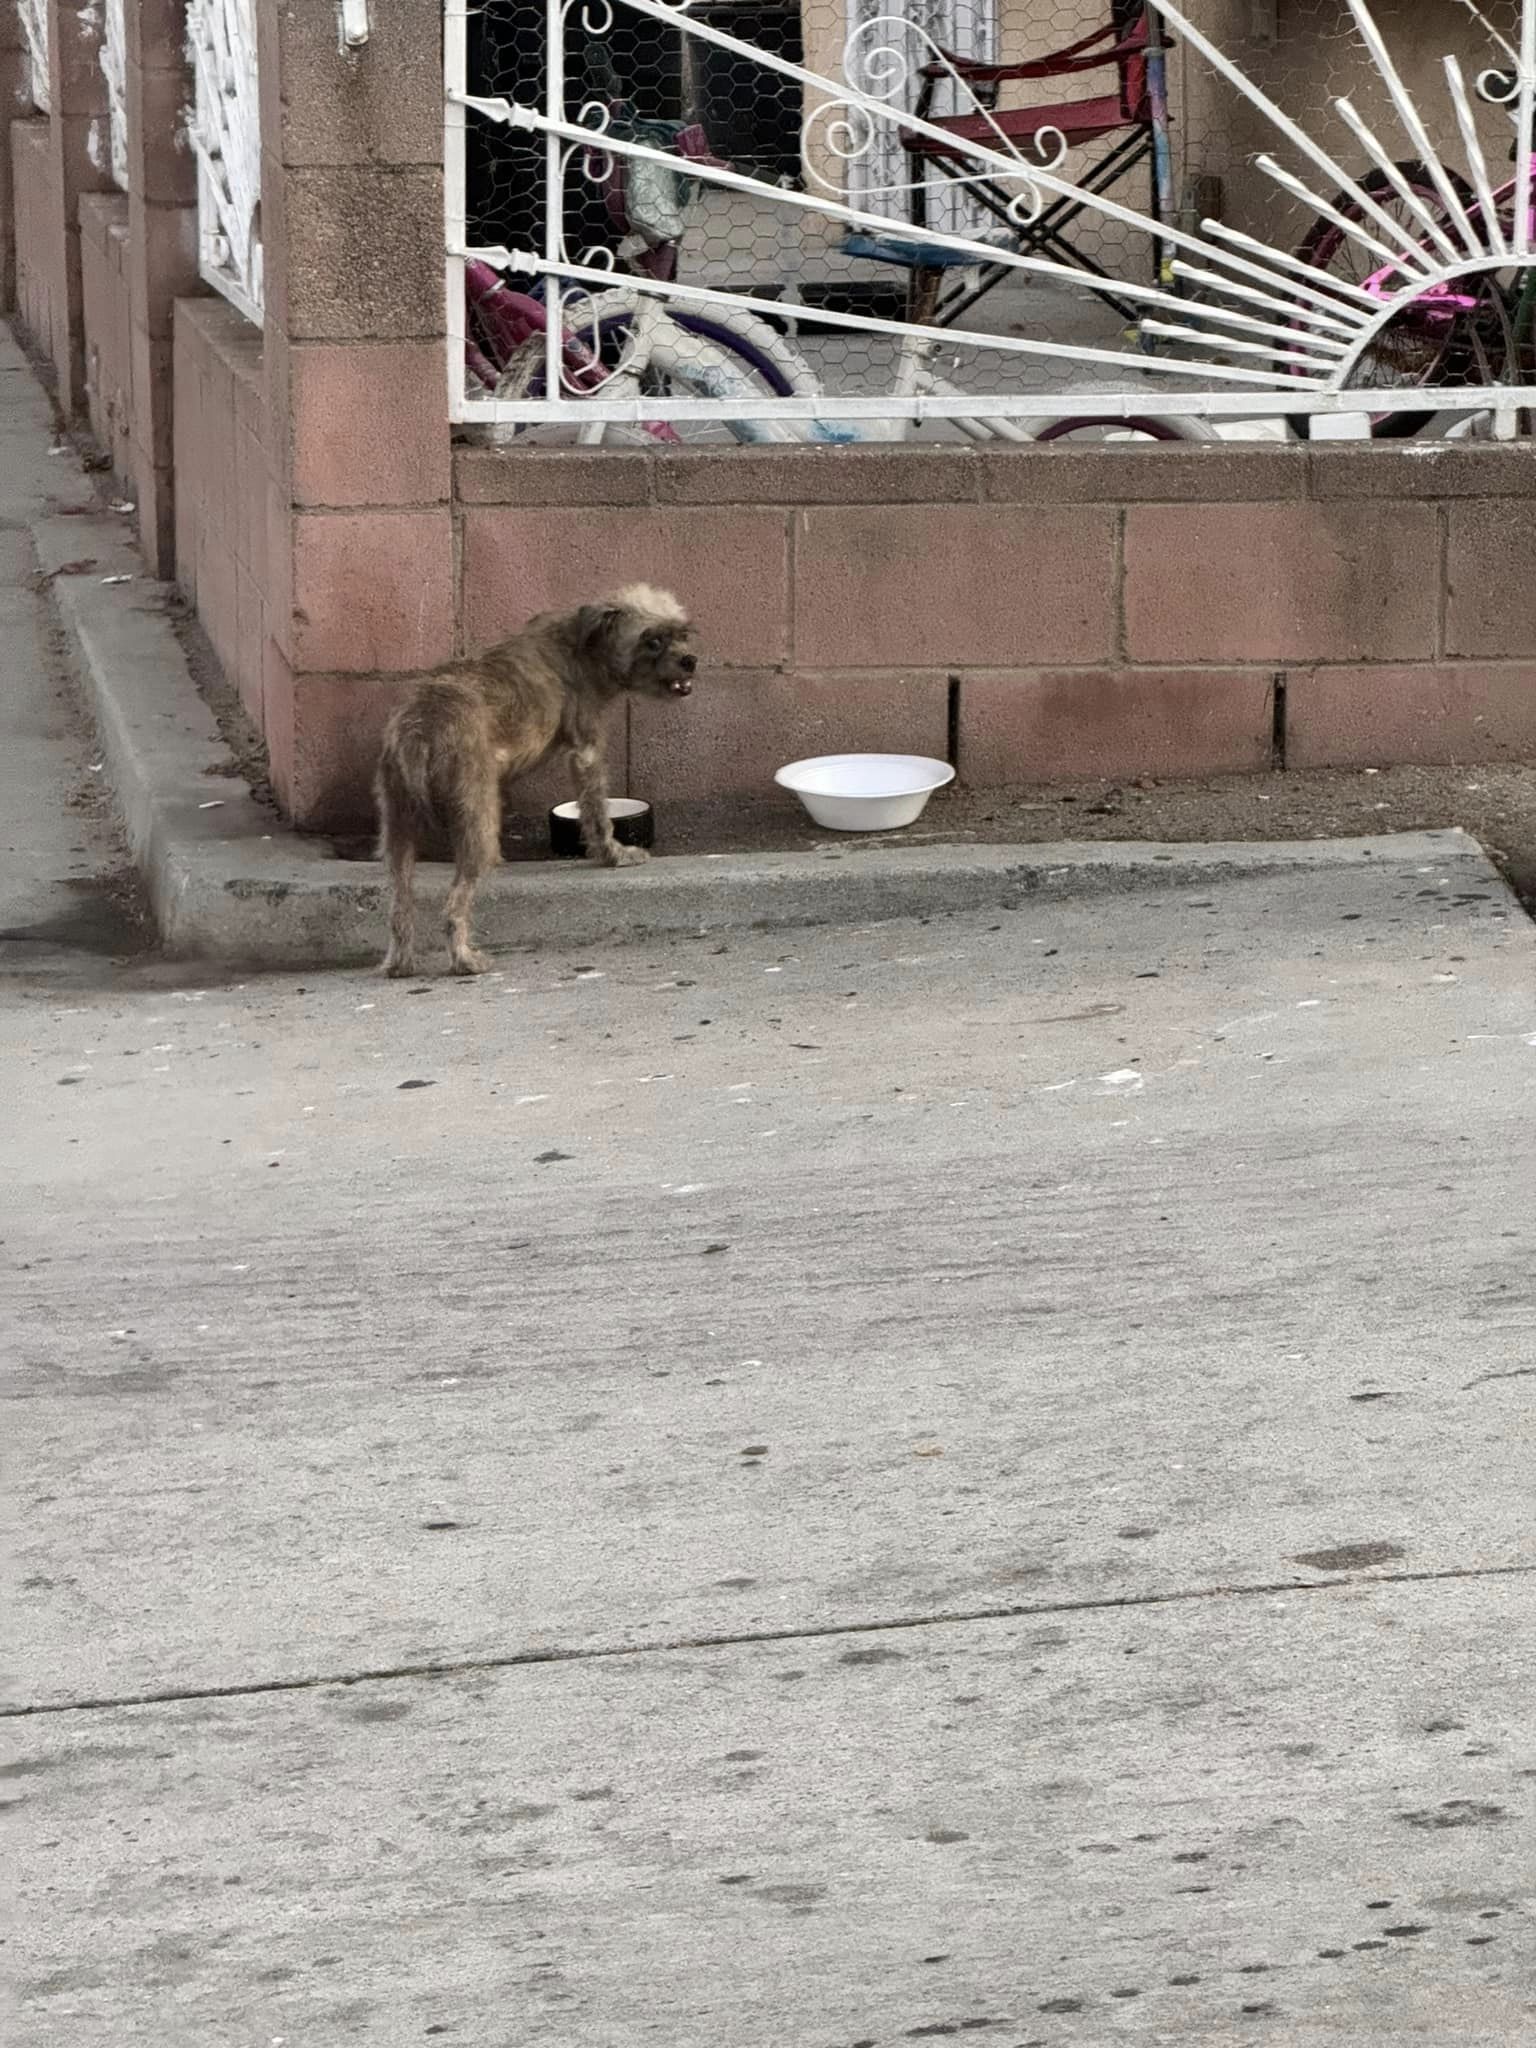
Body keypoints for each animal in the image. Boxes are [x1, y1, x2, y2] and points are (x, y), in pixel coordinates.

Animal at [376, 585, 696, 974]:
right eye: (653, 641)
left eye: (683, 634)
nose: (690, 660)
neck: (585, 644)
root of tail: (420, 727)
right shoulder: (586, 751)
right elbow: (596, 813)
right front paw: (614, 854)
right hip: (479, 828)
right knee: (453, 907)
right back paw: (465, 960)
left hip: (398, 829)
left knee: (400, 905)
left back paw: (400, 964)